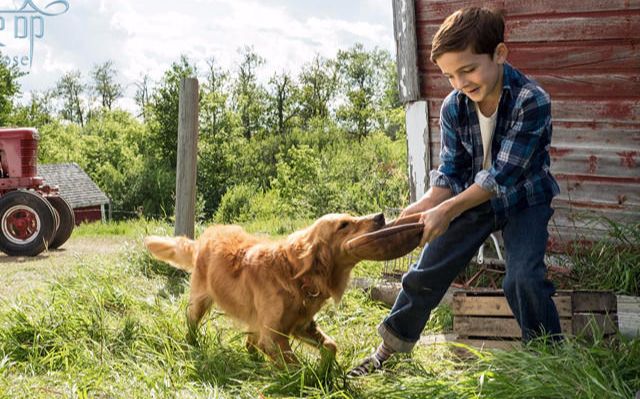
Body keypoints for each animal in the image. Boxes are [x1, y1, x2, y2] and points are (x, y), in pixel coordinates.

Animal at [145, 214, 384, 364]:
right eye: (344, 225)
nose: (380, 216)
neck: (296, 276)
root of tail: (203, 237)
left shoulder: (301, 325)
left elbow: (331, 345)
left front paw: (326, 371)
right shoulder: (273, 336)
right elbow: (296, 367)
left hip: (255, 319)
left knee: (250, 344)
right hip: (199, 303)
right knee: (192, 324)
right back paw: (192, 344)